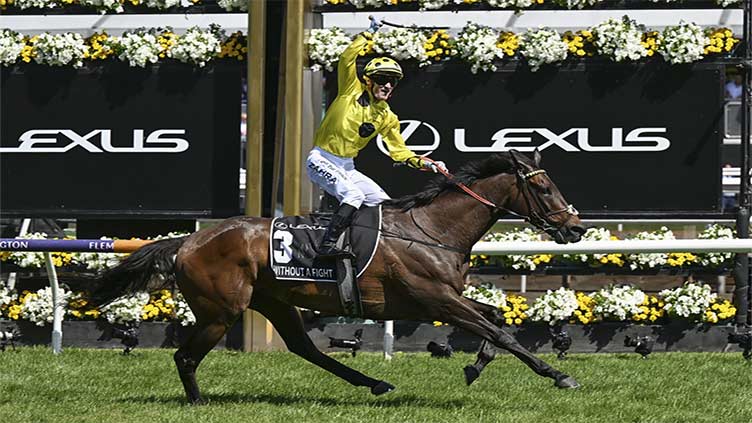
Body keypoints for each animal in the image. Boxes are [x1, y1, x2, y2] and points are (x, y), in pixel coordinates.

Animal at [91, 149, 588, 404]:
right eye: (543, 187)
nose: (575, 228)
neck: (432, 229)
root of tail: (190, 240)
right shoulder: (435, 299)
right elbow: (498, 330)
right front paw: (557, 375)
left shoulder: (444, 298)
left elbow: (495, 320)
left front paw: (475, 364)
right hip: (221, 311)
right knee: (186, 357)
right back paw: (197, 402)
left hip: (273, 300)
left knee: (305, 348)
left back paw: (375, 383)